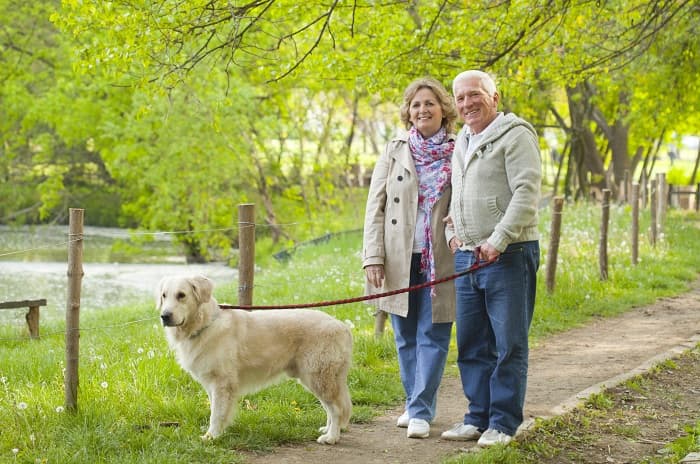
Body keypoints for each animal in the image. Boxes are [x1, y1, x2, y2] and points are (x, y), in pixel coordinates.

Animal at [157, 274, 352, 444]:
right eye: (164, 296)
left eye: (181, 295)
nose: (164, 316)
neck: (204, 324)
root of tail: (342, 326)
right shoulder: (213, 385)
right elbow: (216, 410)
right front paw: (217, 434)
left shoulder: (222, 383)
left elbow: (216, 414)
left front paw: (211, 437)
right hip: (317, 379)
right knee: (331, 407)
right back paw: (327, 430)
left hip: (318, 377)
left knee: (336, 409)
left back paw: (331, 437)